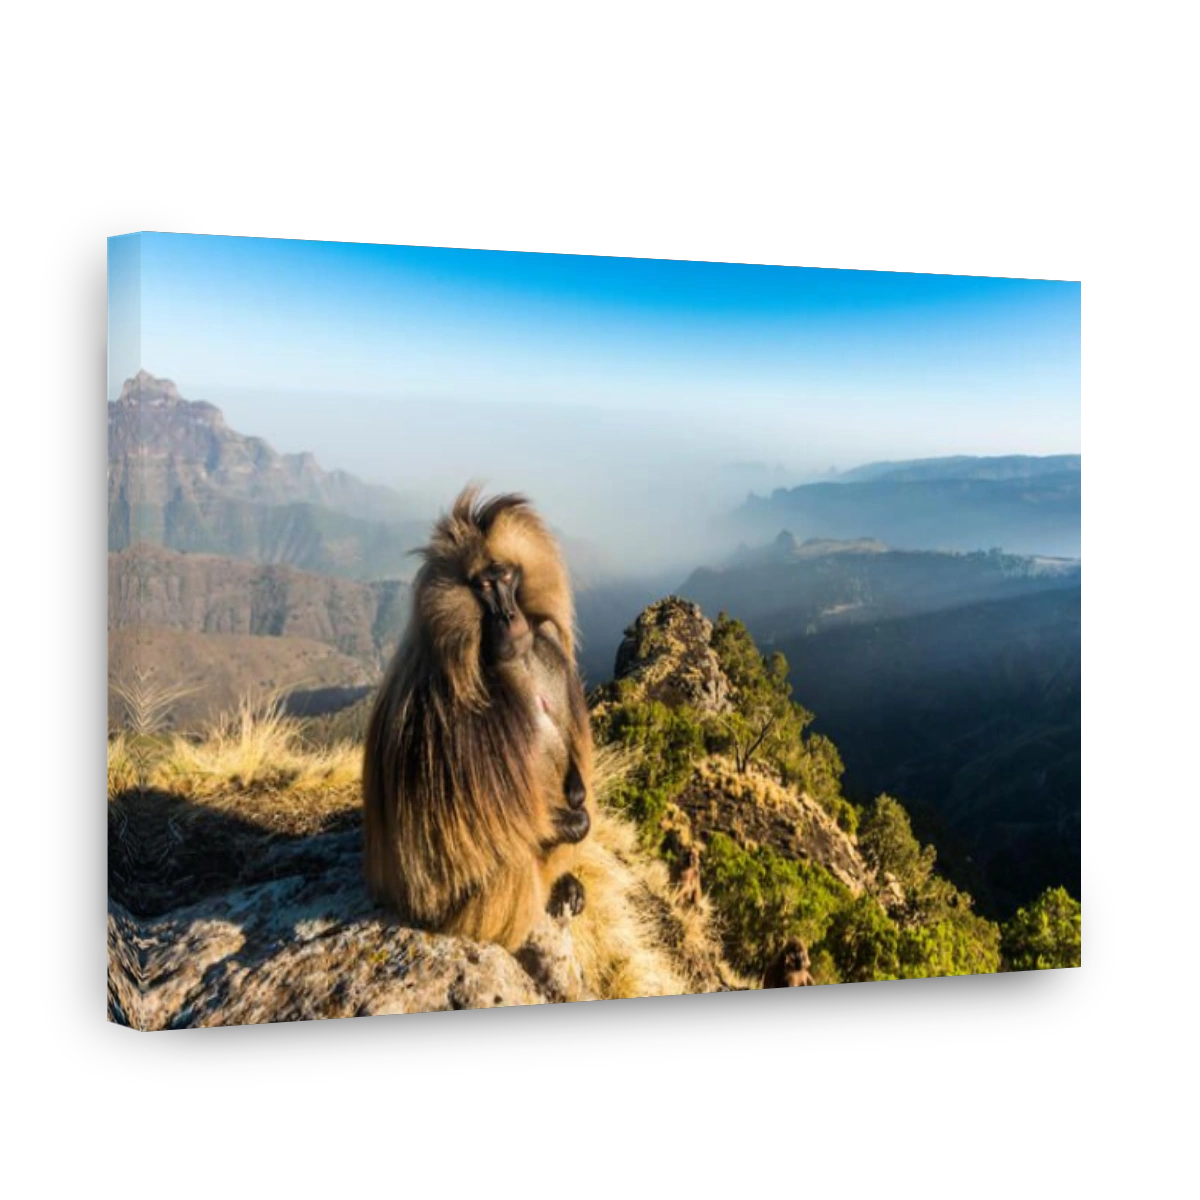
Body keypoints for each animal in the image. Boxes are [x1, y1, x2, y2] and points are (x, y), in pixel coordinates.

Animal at [362, 485, 596, 954]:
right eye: (484, 586)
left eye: (505, 577)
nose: (508, 616)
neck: (509, 660)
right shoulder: (448, 707)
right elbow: (484, 827)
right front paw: (573, 819)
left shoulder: (546, 649)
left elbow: (574, 769)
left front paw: (577, 797)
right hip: (449, 912)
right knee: (511, 858)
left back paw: (561, 884)